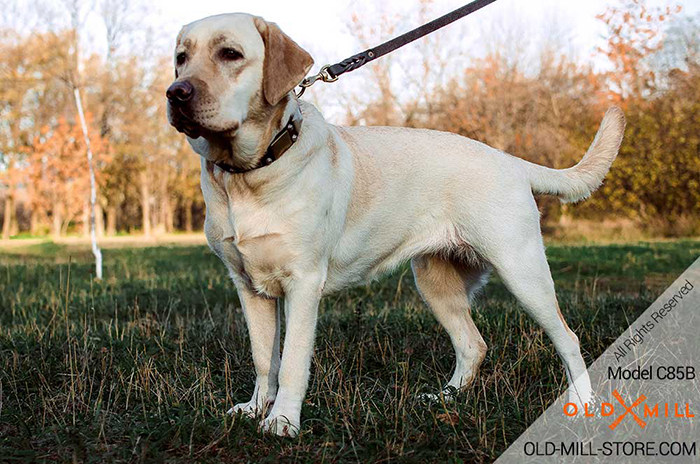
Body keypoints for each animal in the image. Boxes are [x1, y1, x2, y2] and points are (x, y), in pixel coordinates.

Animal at [167, 12, 628, 436]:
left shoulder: (303, 283)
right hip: (434, 282)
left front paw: (282, 421)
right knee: (473, 344)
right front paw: (255, 409)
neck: (248, 174)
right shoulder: (248, 286)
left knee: (568, 339)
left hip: (524, 273)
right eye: (181, 58)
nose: (175, 93)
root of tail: (511, 160)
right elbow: (266, 359)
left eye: (230, 54)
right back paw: (445, 398)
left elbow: (293, 361)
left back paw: (581, 406)